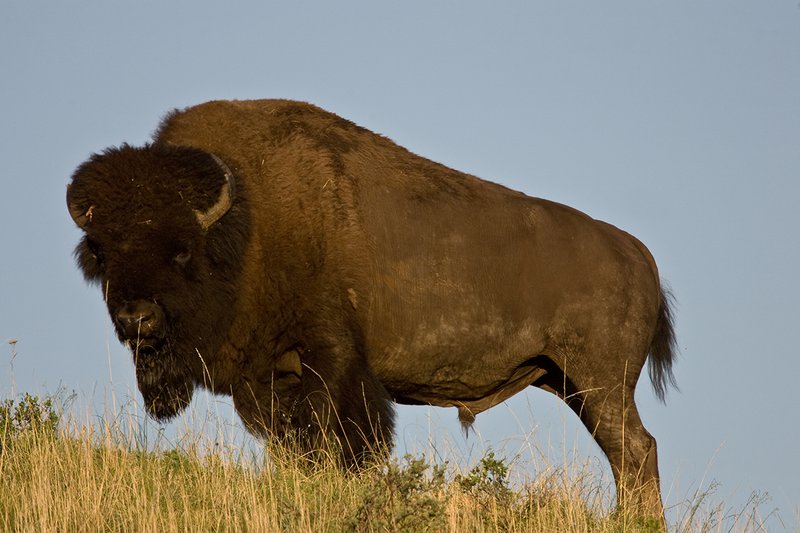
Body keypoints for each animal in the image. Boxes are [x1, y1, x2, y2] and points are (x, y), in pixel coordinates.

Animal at [67, 99, 676, 520]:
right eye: (104, 251)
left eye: (181, 250)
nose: (137, 319)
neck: (247, 222)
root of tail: (639, 255)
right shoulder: (267, 382)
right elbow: (292, 447)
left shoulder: (331, 362)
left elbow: (340, 441)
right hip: (569, 381)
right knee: (629, 452)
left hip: (601, 383)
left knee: (635, 450)